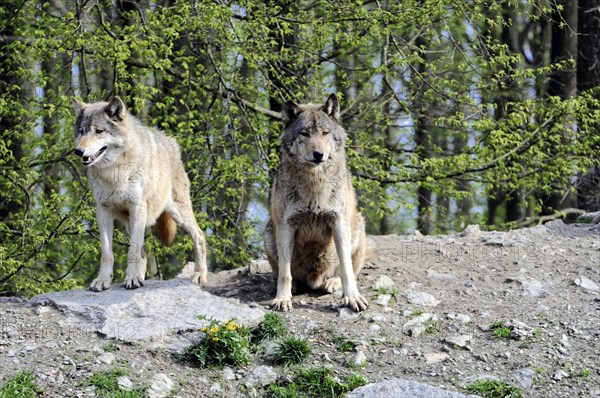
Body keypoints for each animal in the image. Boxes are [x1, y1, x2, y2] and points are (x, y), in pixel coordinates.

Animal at [72, 96, 207, 290]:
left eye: (98, 131)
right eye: (81, 132)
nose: (78, 151)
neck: (114, 171)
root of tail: (171, 142)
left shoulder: (137, 206)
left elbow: (132, 251)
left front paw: (133, 279)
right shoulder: (103, 210)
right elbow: (107, 252)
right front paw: (103, 280)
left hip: (178, 214)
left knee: (199, 236)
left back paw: (199, 275)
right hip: (130, 222)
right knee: (143, 252)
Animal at [264, 93, 368, 310]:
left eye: (324, 133)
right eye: (304, 134)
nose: (318, 154)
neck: (315, 183)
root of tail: (314, 279)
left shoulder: (338, 223)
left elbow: (346, 268)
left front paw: (352, 297)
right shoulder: (286, 226)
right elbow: (285, 273)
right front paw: (282, 299)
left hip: (357, 227)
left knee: (346, 270)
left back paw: (332, 283)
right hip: (268, 230)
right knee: (284, 274)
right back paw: (295, 287)